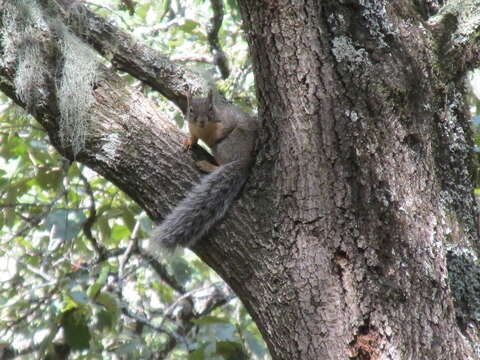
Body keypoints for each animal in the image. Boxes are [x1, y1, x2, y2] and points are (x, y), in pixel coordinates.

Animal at [151, 90, 258, 252]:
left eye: (210, 108)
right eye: (191, 110)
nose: (201, 121)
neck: (204, 130)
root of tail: (246, 160)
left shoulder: (226, 121)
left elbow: (225, 129)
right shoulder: (192, 127)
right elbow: (193, 137)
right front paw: (189, 142)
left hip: (226, 146)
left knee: (223, 161)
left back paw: (208, 166)